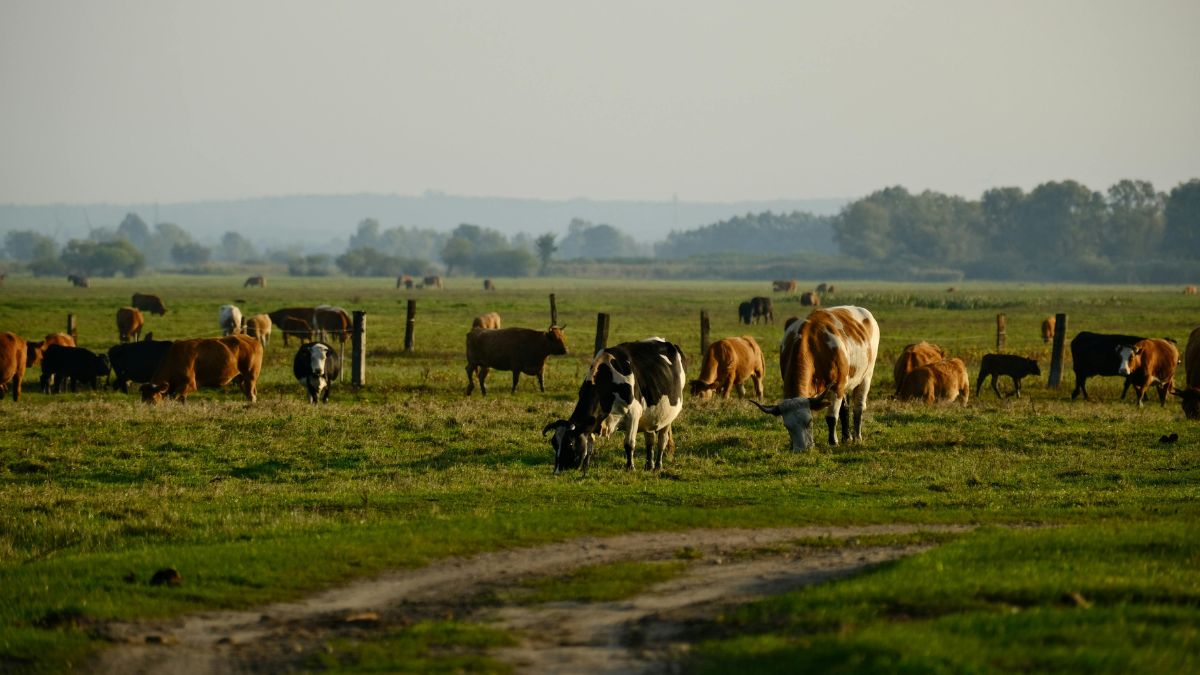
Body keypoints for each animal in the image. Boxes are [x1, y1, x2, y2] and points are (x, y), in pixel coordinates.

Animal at [543, 338, 686, 473]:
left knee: (662, 440)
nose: (557, 471)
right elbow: (590, 445)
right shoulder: (594, 420)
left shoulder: (633, 414)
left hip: (667, 416)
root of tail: (667, 342)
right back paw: (648, 466)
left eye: (570, 443)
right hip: (650, 416)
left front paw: (630, 467)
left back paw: (657, 466)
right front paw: (586, 466)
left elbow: (629, 444)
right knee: (650, 440)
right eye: (554, 444)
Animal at [753, 306, 879, 450]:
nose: (800, 449)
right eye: (787, 426)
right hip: (846, 383)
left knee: (858, 407)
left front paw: (833, 442)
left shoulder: (836, 387)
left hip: (866, 376)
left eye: (809, 422)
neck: (812, 345)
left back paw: (857, 437)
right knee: (845, 408)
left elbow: (831, 418)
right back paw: (847, 437)